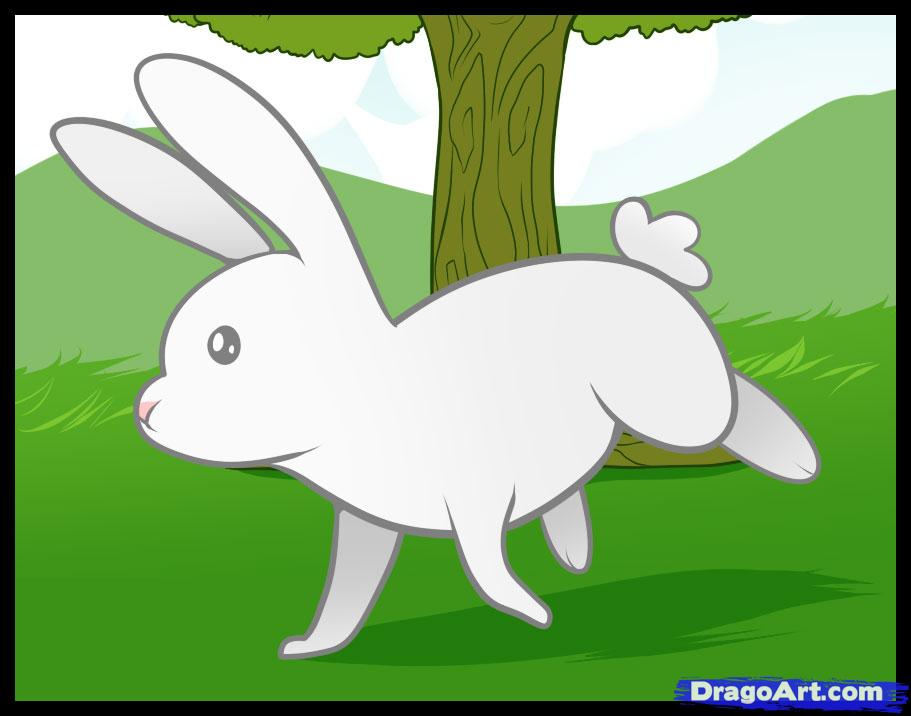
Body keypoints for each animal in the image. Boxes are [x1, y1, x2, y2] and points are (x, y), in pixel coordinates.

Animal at [50, 53, 820, 660]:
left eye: (224, 346)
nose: (147, 409)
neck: (364, 388)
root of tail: (646, 273)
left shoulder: (476, 496)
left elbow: (483, 563)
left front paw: (527, 612)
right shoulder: (366, 523)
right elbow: (350, 592)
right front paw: (310, 648)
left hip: (671, 400)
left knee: (730, 410)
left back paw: (794, 460)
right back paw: (574, 550)